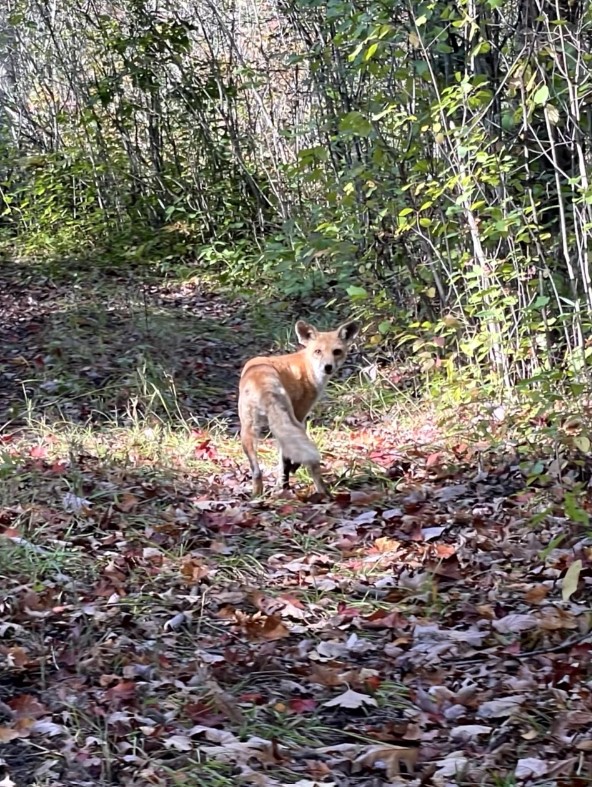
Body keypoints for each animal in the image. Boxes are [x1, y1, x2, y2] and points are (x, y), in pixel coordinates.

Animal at [237, 318, 358, 496]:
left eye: (337, 351)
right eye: (318, 351)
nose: (328, 367)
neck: (307, 366)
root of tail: (261, 380)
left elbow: (283, 461)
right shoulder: (301, 414)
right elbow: (289, 460)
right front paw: (293, 471)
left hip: (248, 431)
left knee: (257, 471)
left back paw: (260, 494)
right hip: (291, 423)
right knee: (311, 464)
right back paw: (324, 493)